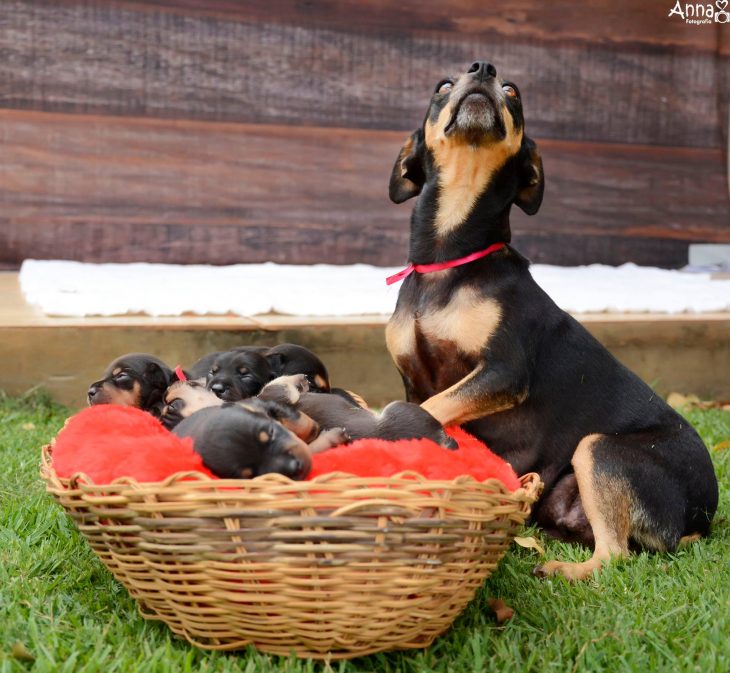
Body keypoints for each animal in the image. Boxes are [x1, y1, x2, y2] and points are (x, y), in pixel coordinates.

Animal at [386, 60, 716, 580]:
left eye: (512, 91)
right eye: (442, 86)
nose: (483, 68)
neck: (448, 260)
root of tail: (702, 516)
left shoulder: (503, 371)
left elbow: (434, 407)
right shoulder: (414, 378)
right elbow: (427, 405)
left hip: (600, 451)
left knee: (615, 556)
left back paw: (562, 570)